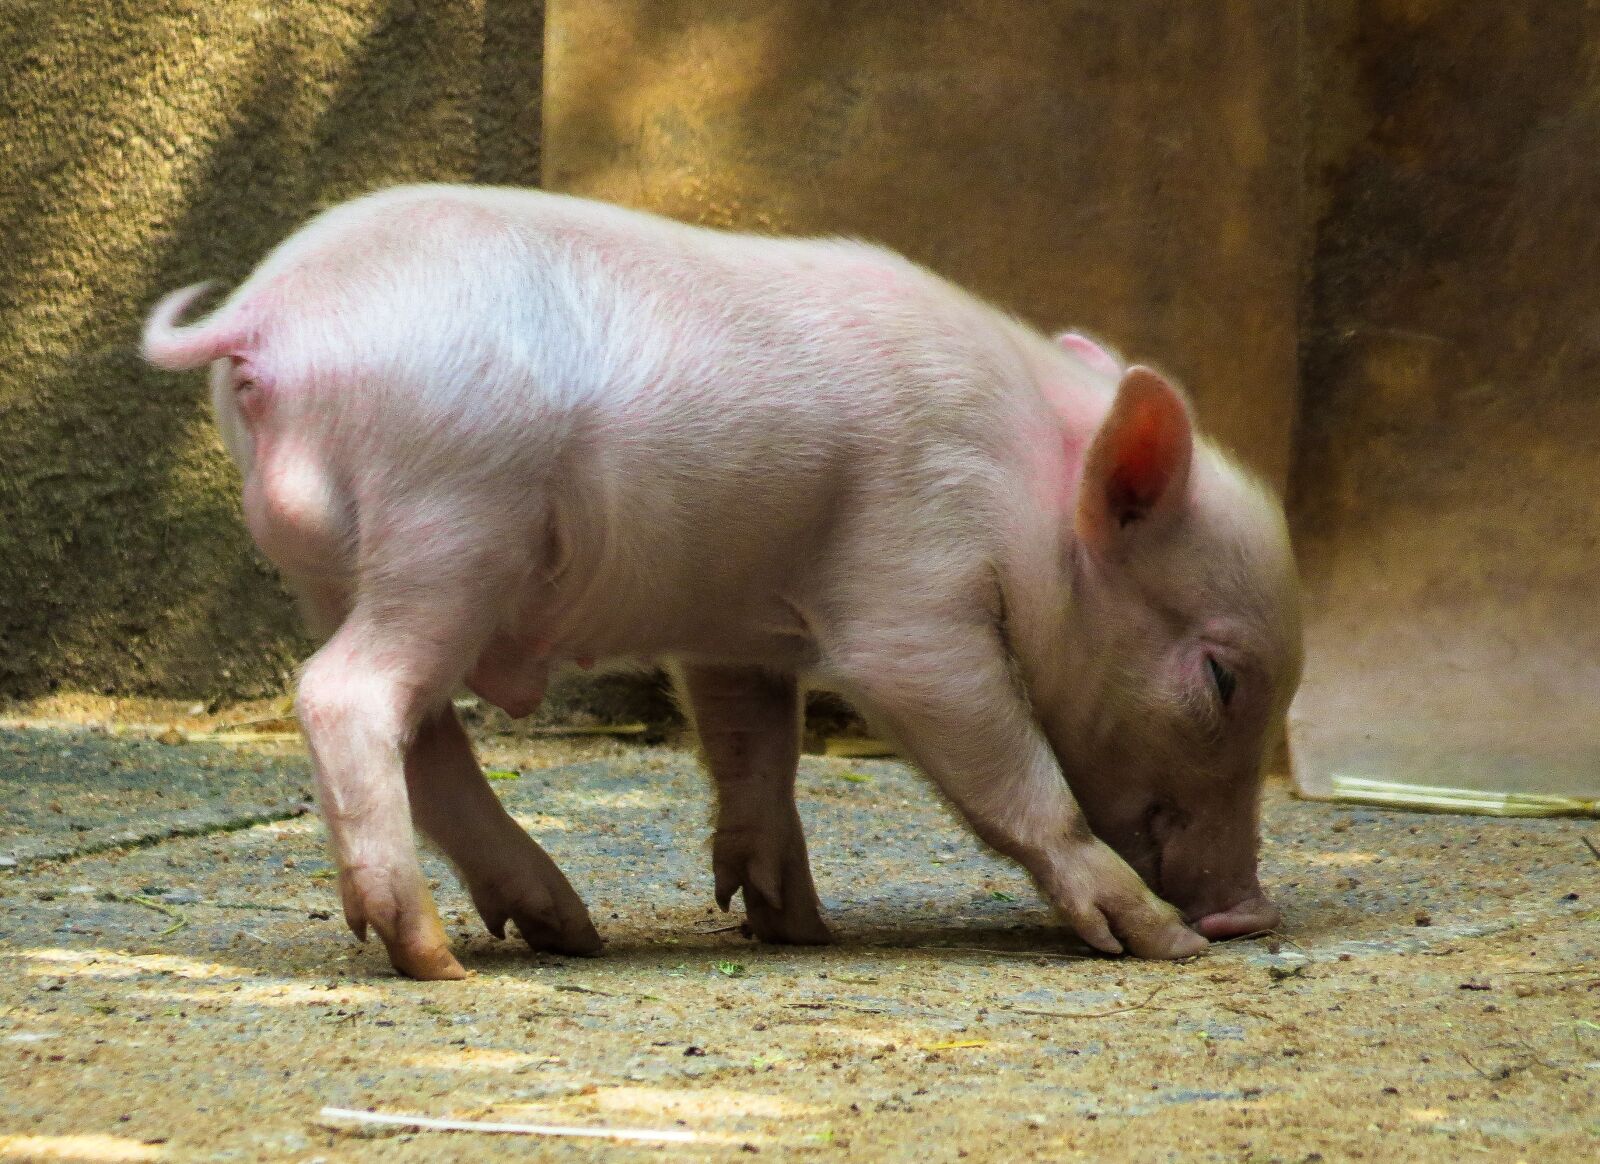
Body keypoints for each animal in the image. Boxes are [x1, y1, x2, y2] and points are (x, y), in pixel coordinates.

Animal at [142, 184, 1302, 981]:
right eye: (1223, 680)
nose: (1246, 915)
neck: (1023, 487)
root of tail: (269, 315)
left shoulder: (737, 623)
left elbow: (755, 749)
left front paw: (794, 924)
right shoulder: (911, 587)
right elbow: (990, 746)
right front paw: (1159, 945)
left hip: (347, 565)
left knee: (421, 732)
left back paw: (568, 932)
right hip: (449, 522)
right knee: (344, 694)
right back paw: (435, 959)